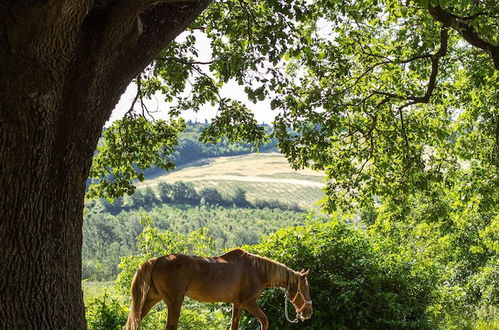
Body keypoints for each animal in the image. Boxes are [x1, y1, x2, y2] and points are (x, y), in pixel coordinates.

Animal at [125, 249, 312, 328]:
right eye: (305, 288)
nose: (308, 312)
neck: (257, 270)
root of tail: (157, 260)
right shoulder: (249, 303)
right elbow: (264, 320)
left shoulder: (237, 305)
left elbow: (234, 326)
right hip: (174, 302)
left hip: (151, 299)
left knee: (133, 322)